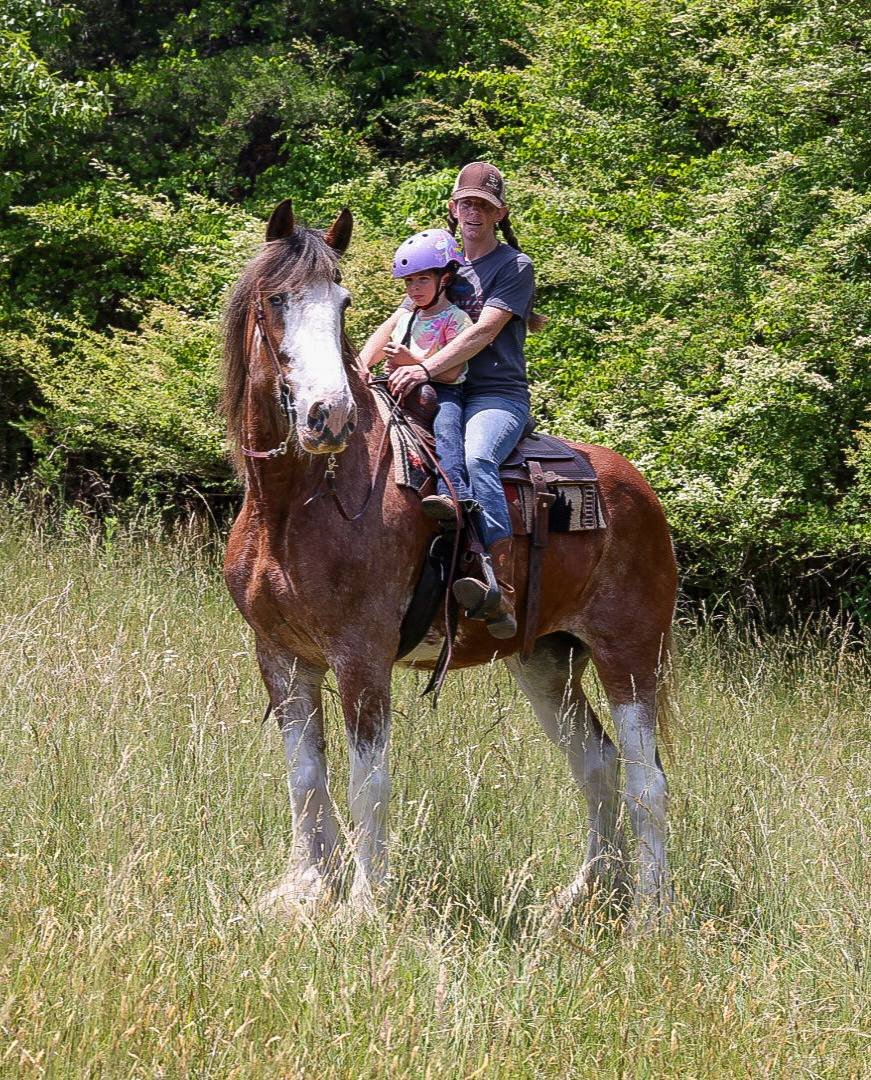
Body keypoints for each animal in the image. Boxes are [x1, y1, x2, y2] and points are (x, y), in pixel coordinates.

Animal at [221, 199, 678, 924]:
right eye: (275, 300)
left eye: (341, 303)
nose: (329, 415)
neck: (299, 503)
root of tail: (639, 489)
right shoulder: (281, 657)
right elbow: (304, 777)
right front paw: (302, 890)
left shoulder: (361, 658)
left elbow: (366, 782)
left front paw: (362, 907)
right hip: (545, 661)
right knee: (597, 767)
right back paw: (580, 898)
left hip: (630, 657)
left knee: (645, 780)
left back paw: (650, 915)